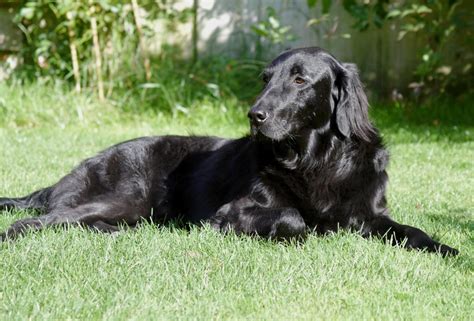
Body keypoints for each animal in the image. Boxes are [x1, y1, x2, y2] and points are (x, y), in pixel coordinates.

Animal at [0, 47, 460, 255]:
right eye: (265, 79)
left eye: (299, 80)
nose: (254, 115)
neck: (317, 160)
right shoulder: (233, 211)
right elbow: (295, 219)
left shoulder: (370, 214)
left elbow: (413, 232)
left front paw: (448, 251)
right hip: (125, 196)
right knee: (38, 221)